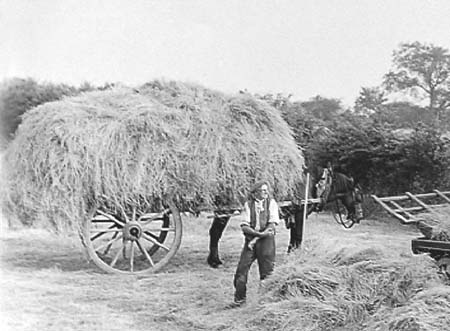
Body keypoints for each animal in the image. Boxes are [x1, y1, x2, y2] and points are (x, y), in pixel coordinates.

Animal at [206, 167, 364, 268]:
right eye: (358, 196)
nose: (359, 217)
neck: (316, 185)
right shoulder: (300, 214)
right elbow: (298, 236)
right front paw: (296, 256)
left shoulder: (294, 215)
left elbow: (293, 237)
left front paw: (291, 254)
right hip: (224, 213)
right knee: (215, 232)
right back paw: (215, 261)